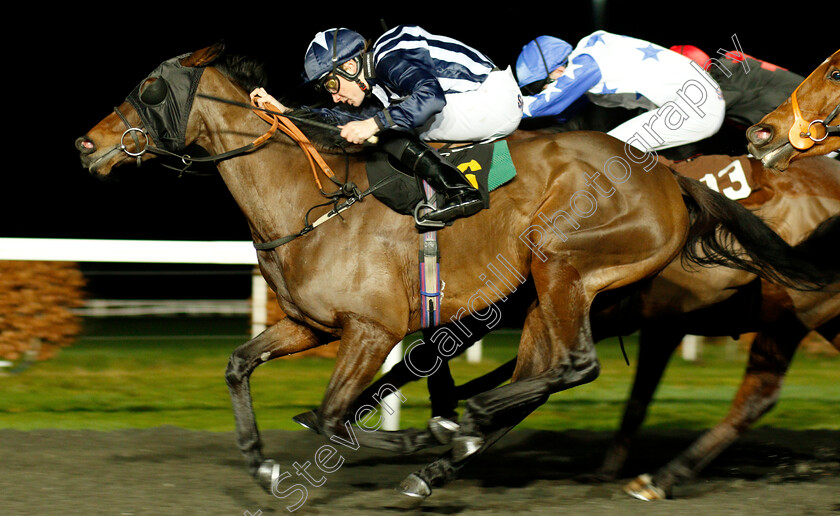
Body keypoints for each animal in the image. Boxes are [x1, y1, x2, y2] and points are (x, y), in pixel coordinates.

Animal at [77, 45, 832, 500]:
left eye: (148, 89)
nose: (87, 144)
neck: (312, 199)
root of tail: (668, 178)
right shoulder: (309, 325)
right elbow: (239, 366)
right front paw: (260, 459)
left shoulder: (370, 330)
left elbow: (333, 415)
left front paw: (409, 433)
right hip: (549, 295)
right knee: (542, 373)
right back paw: (455, 448)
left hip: (561, 262)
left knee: (577, 367)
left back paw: (461, 433)